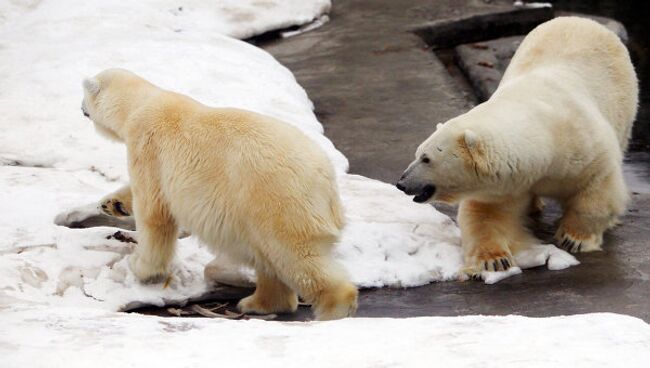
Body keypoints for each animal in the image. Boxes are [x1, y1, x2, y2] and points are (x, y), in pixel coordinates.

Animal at [81, 68, 356, 320]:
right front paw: (112, 203)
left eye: (84, 94)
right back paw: (256, 303)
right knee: (268, 257)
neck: (142, 103)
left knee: (295, 255)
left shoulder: (148, 147)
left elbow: (154, 213)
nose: (81, 107)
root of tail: (327, 179)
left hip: (278, 199)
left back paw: (333, 310)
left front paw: (140, 268)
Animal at [392, 17, 636, 274]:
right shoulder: (506, 180)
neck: (545, 137)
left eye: (426, 158)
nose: (401, 183)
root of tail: (582, 20)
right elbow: (487, 213)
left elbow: (597, 189)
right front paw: (494, 260)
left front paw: (574, 239)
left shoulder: (584, 149)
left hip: (623, 101)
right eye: (418, 153)